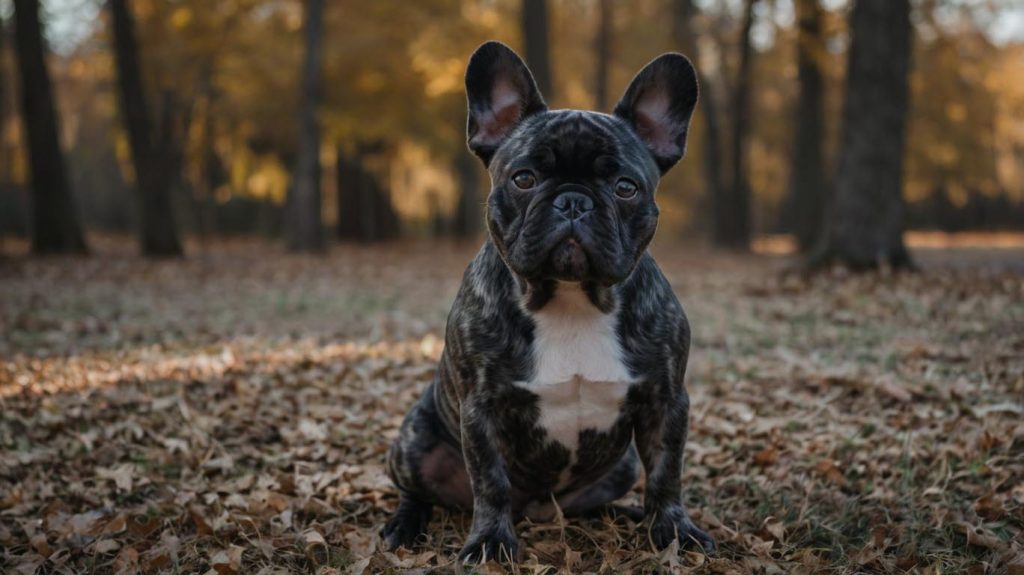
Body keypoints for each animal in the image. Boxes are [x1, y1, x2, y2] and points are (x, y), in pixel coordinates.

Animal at [382, 41, 712, 564]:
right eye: (524, 178)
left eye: (625, 187)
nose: (573, 200)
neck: (571, 297)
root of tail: (536, 508)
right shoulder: (481, 409)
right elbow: (490, 482)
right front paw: (489, 542)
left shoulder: (666, 401)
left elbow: (666, 474)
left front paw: (674, 530)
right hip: (415, 441)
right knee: (417, 490)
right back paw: (404, 525)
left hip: (621, 465)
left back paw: (622, 514)